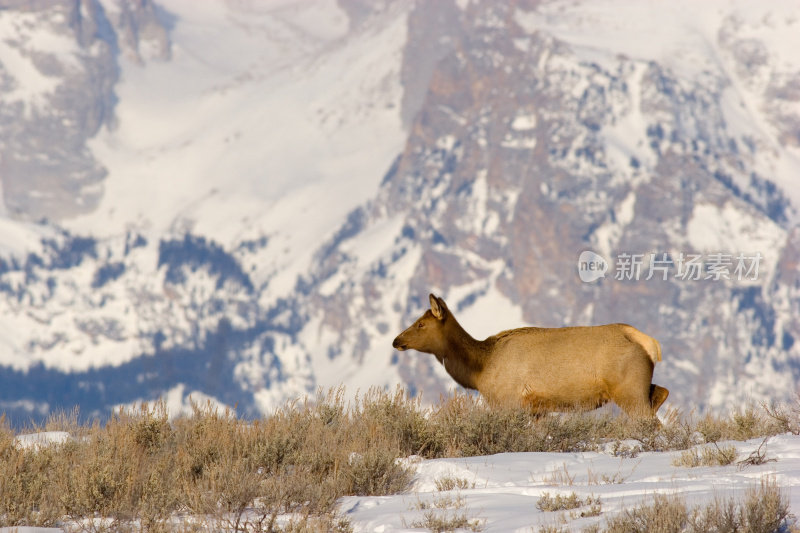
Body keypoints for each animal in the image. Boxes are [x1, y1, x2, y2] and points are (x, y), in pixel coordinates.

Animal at [394, 296, 668, 416]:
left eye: (420, 324)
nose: (397, 340)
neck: (479, 370)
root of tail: (649, 343)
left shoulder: (508, 401)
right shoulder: (538, 409)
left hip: (628, 390)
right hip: (638, 385)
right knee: (661, 392)